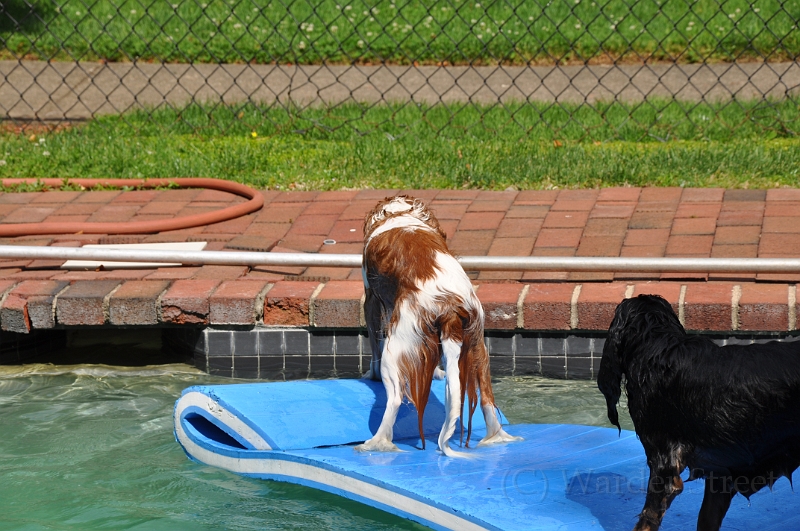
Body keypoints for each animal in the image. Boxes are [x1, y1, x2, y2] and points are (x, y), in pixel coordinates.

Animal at [354, 195, 520, 458]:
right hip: (476, 345)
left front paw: (371, 375)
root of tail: (450, 305)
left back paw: (376, 443)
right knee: (486, 399)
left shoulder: (370, 299)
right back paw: (497, 438)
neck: (401, 213)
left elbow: (374, 347)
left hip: (398, 346)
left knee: (395, 399)